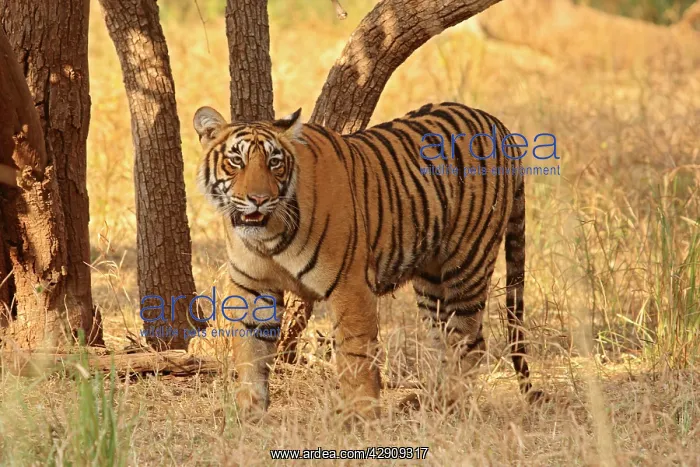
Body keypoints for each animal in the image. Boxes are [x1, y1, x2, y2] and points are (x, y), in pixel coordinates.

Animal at [193, 102, 544, 419]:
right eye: (236, 161)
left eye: (274, 163)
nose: (258, 199)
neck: (267, 234)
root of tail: (499, 125)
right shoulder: (252, 287)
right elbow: (250, 353)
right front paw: (249, 415)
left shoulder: (350, 284)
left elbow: (355, 353)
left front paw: (360, 417)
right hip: (432, 280)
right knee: (444, 340)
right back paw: (430, 404)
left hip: (467, 264)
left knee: (469, 341)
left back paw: (453, 409)